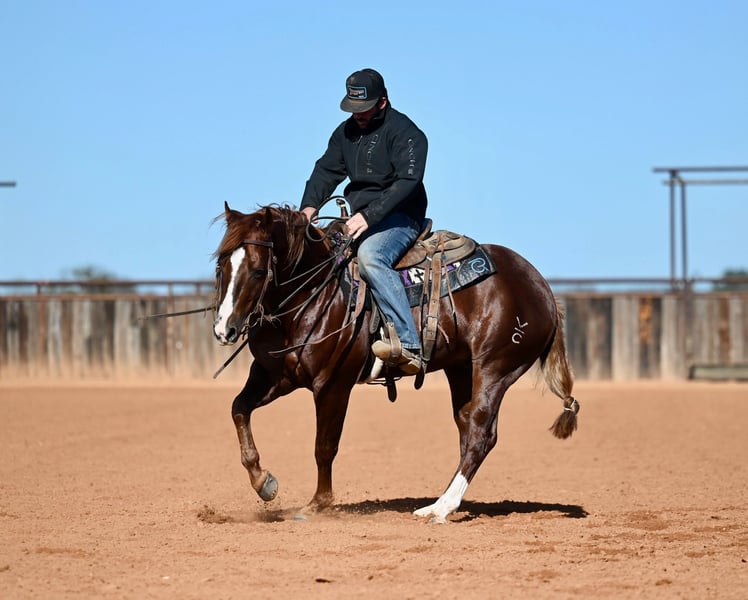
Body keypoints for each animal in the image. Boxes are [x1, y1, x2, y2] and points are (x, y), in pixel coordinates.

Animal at [212, 202, 579, 523]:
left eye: (258, 270)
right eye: (220, 265)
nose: (224, 329)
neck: (315, 295)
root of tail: (542, 288)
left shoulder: (333, 385)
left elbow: (325, 446)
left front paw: (318, 504)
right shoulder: (274, 375)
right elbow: (238, 409)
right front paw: (264, 483)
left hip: (495, 369)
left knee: (481, 434)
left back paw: (440, 508)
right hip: (461, 369)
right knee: (466, 429)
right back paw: (443, 503)